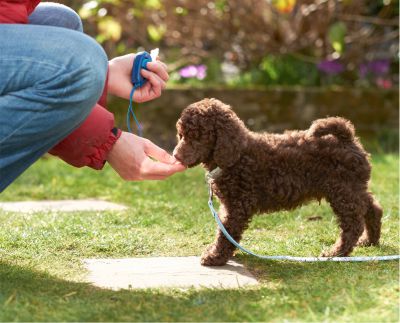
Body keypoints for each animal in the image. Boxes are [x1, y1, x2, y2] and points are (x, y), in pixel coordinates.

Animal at [173, 98, 382, 266]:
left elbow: (226, 232)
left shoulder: (238, 205)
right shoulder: (230, 205)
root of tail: (347, 138)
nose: (175, 155)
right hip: (353, 188)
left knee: (353, 224)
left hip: (342, 190)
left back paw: (336, 253)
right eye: (181, 135)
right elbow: (224, 230)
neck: (237, 156)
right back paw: (370, 240)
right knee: (373, 208)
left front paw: (215, 257)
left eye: (198, 136)